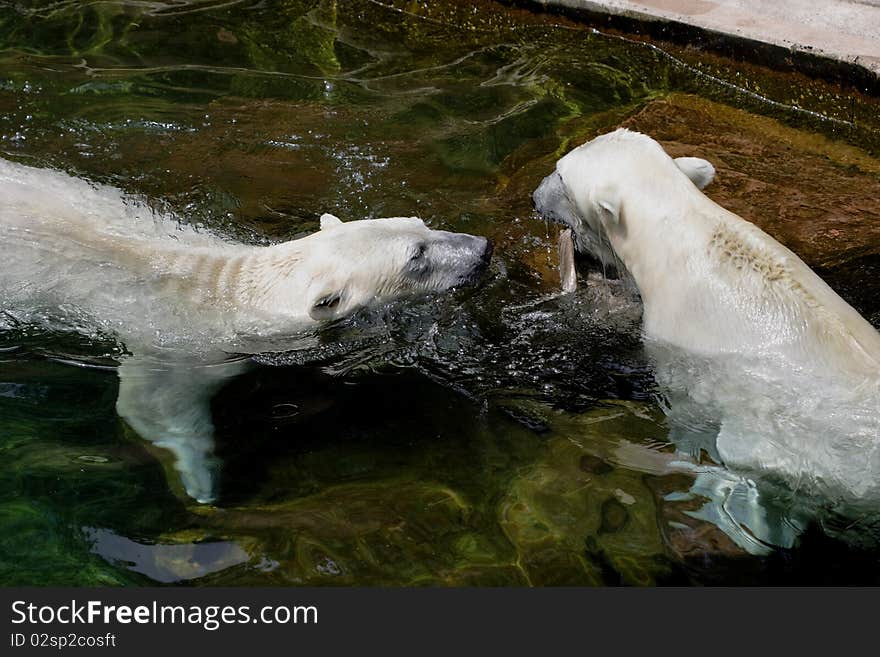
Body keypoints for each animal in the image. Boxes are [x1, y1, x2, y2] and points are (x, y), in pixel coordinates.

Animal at [0, 159, 492, 502]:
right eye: (416, 256)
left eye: (420, 223)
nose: (483, 248)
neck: (232, 291)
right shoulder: (178, 345)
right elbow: (151, 406)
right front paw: (200, 481)